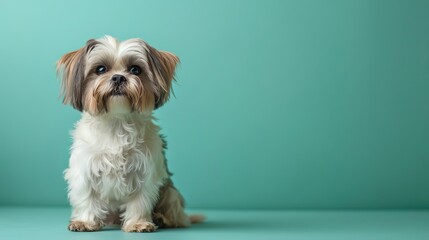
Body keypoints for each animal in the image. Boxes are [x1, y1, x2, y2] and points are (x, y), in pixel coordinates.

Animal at [56, 35, 202, 232]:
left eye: (135, 69)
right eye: (100, 69)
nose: (118, 77)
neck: (117, 122)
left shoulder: (145, 171)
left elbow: (140, 200)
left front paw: (138, 223)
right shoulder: (85, 169)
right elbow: (87, 196)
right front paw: (85, 221)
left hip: (169, 193)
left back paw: (162, 219)